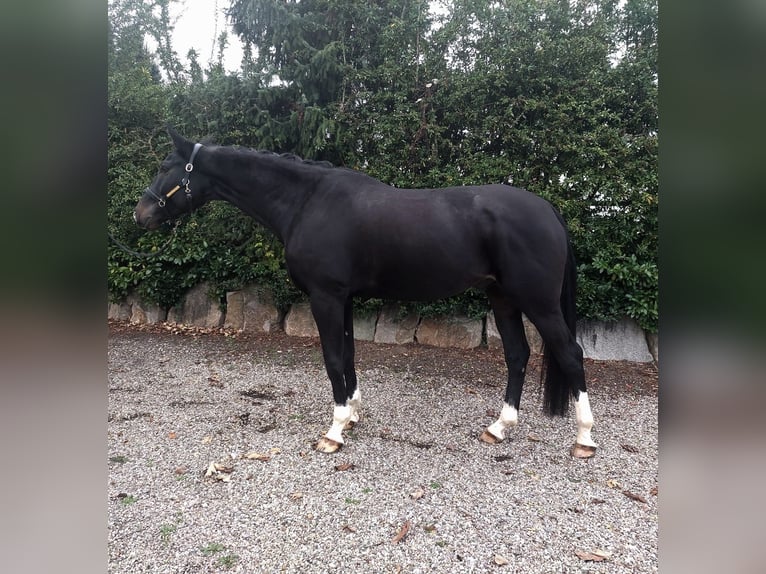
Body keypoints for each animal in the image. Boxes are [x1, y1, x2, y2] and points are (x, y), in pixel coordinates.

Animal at [134, 128, 597, 458]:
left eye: (165, 165)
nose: (141, 214)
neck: (308, 202)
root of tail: (548, 209)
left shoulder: (325, 296)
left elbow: (333, 358)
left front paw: (334, 431)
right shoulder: (344, 299)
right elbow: (350, 354)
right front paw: (353, 415)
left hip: (538, 303)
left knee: (570, 354)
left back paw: (584, 440)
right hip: (502, 299)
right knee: (517, 355)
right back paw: (499, 429)